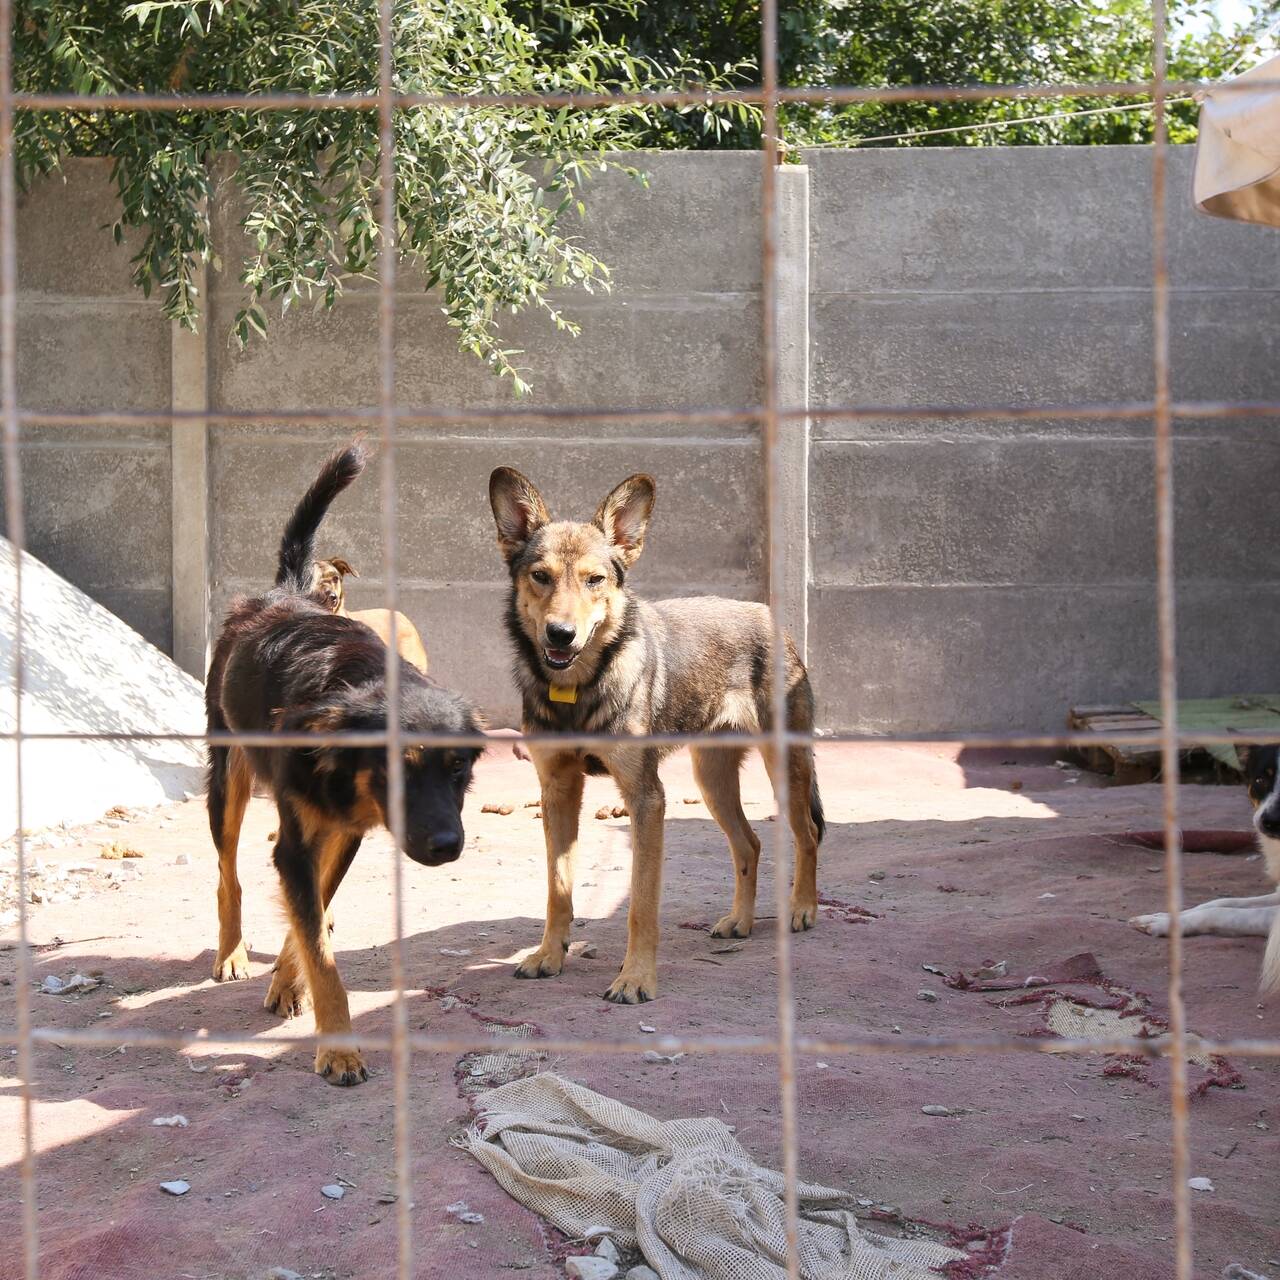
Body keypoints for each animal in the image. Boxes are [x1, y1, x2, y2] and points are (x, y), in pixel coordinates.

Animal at [207, 445, 481, 1085]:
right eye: (396, 768)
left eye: (458, 768)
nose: (447, 847)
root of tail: (283, 593)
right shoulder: (302, 840)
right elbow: (322, 954)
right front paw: (338, 1048)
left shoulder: (346, 830)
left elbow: (312, 920)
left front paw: (290, 980)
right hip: (226, 777)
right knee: (228, 872)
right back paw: (231, 952)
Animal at [483, 465, 824, 1003]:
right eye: (540, 577)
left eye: (594, 580)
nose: (560, 635)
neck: (578, 691)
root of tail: (769, 616)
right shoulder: (557, 791)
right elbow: (558, 888)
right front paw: (548, 955)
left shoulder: (647, 800)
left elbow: (641, 904)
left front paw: (636, 977)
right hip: (712, 781)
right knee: (749, 844)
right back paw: (740, 921)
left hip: (784, 770)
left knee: (806, 833)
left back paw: (803, 908)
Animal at [1131, 747, 1280, 993]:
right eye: (1260, 780)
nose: (1269, 822)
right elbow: (1220, 902)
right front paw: (1163, 917)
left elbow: (1223, 913)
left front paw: (1167, 924)